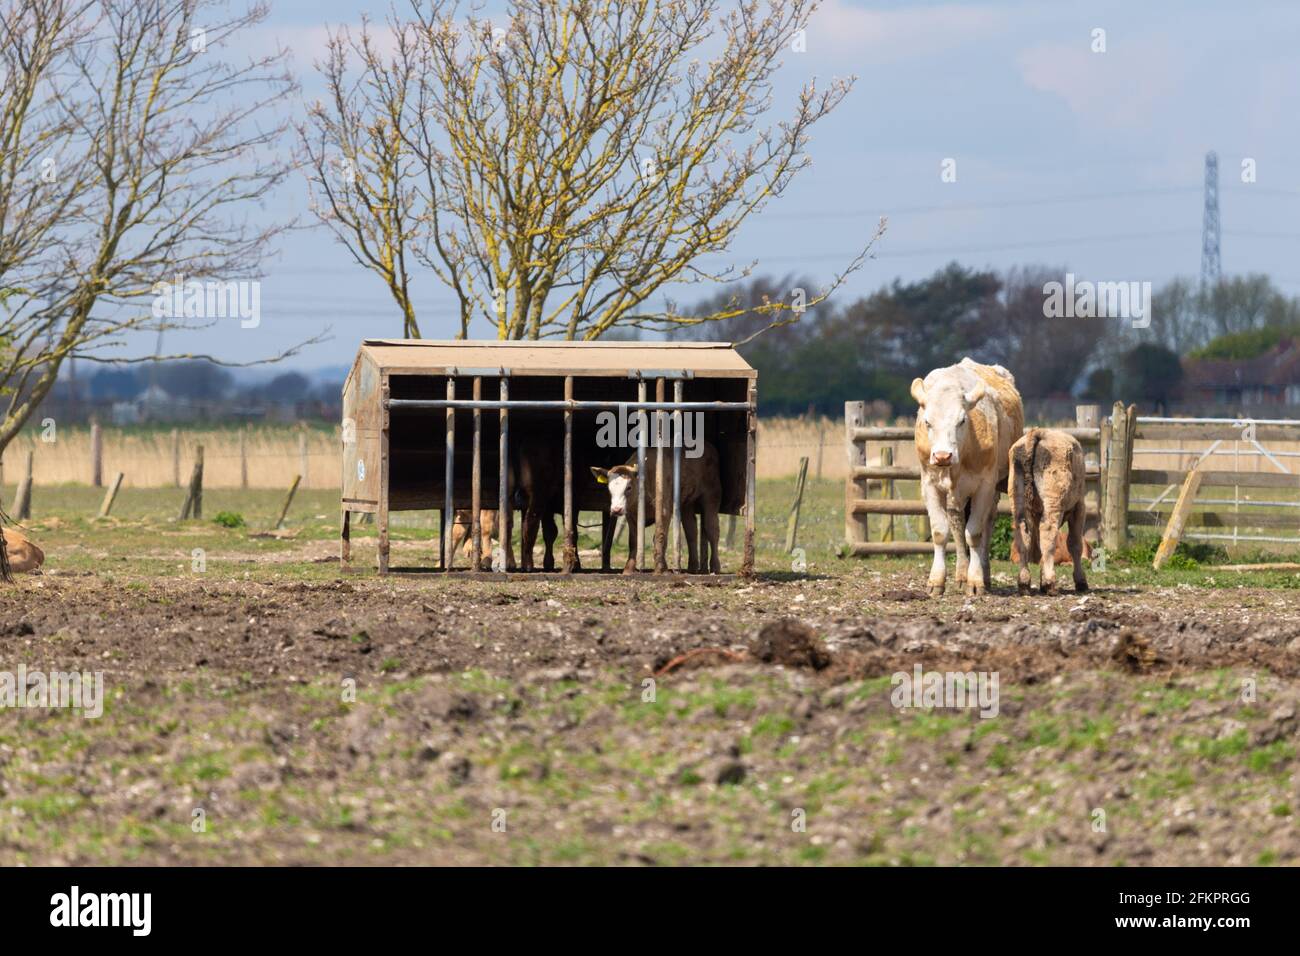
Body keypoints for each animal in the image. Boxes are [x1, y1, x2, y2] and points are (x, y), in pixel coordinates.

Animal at [591, 440, 722, 574]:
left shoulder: (664, 509)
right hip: (686, 502)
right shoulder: (631, 515)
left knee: (712, 528)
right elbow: (633, 541)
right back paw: (692, 567)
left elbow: (659, 537)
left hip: (712, 492)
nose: (616, 509)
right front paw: (628, 569)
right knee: (691, 529)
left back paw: (715, 567)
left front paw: (661, 568)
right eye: (609, 488)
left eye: (629, 487)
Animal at [912, 358, 1024, 597]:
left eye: (962, 420)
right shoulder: (929, 485)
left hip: (991, 489)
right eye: (927, 422)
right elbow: (940, 531)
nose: (942, 455)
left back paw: (983, 574)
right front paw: (936, 581)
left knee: (987, 524)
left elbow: (974, 533)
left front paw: (976, 580)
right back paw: (961, 574)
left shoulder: (984, 485)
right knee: (956, 522)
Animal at [1009, 428, 1089, 595]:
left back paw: (1024, 583)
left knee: (1023, 535)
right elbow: (1075, 544)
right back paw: (1050, 583)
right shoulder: (1079, 508)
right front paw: (1081, 581)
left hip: (1018, 503)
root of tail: (1039, 432)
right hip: (1053, 504)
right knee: (1048, 533)